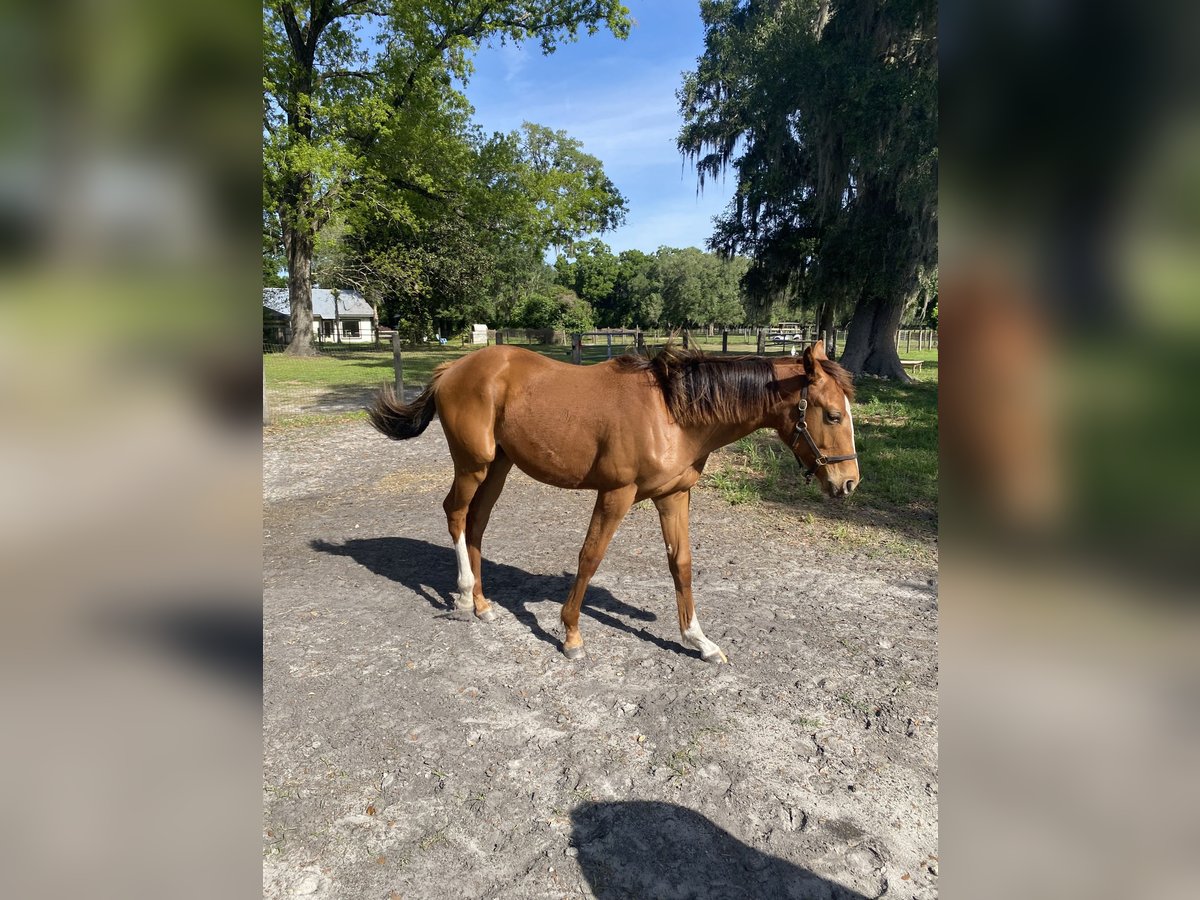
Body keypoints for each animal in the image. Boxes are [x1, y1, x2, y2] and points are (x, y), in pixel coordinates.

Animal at [369, 340, 859, 667]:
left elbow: (681, 565)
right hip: (474, 464)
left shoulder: (673, 496)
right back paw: (464, 596)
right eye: (833, 415)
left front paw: (698, 641)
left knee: (477, 524)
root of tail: (453, 368)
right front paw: (570, 634)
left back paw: (484, 605)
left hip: (499, 467)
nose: (848, 482)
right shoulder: (616, 495)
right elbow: (590, 557)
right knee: (455, 514)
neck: (672, 413)